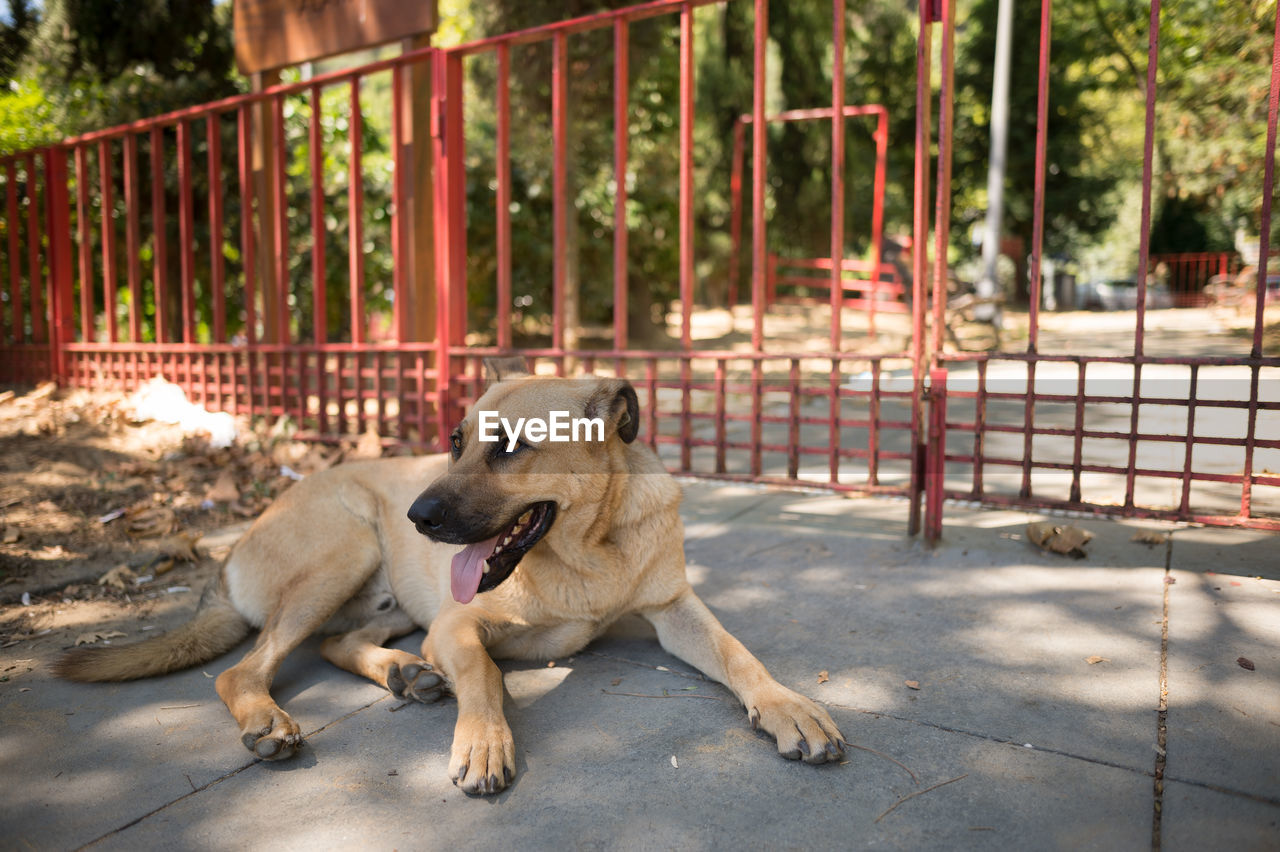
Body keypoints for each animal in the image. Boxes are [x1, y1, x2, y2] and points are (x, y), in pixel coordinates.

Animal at [55, 355, 844, 788]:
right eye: (456, 441)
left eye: (512, 447)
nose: (417, 516)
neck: (587, 552)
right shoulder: (457, 626)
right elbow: (487, 677)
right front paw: (484, 741)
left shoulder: (677, 609)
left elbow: (740, 656)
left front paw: (788, 707)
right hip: (345, 549)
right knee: (242, 669)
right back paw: (273, 718)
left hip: (378, 598)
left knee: (334, 643)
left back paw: (405, 673)